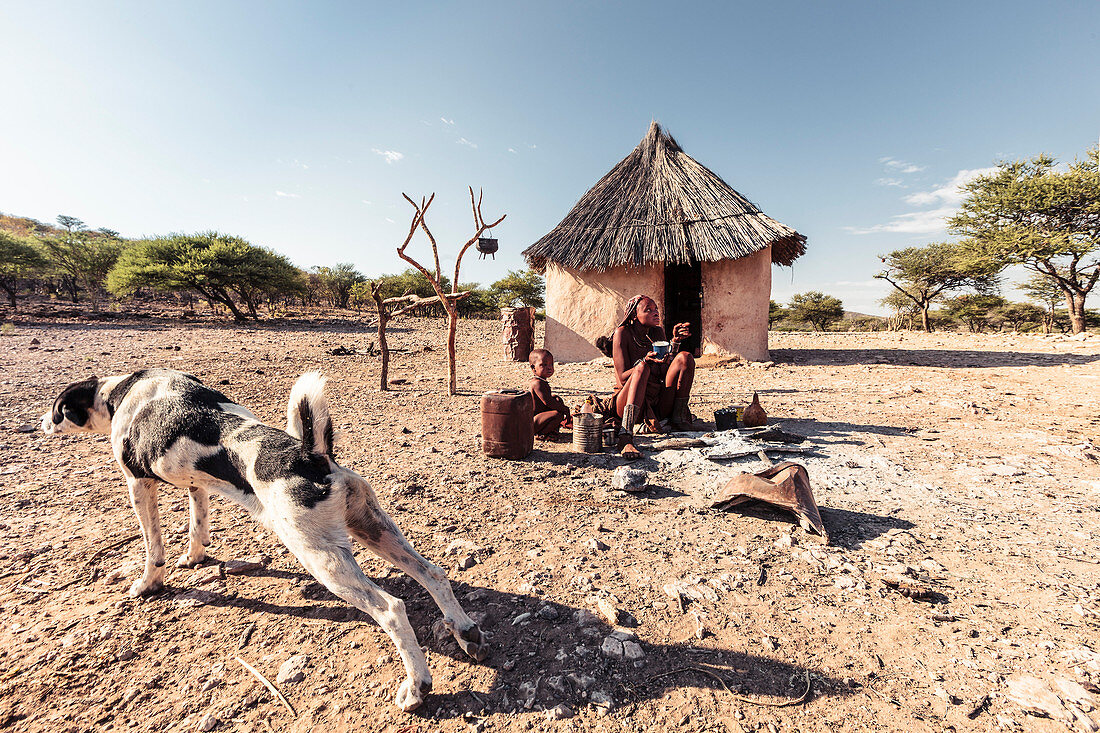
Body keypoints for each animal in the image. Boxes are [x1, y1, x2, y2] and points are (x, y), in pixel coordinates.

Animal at [44, 367, 481, 708]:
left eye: (57, 408)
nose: (41, 424)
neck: (119, 393)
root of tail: (310, 455)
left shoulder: (138, 484)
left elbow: (153, 547)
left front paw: (149, 584)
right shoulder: (196, 485)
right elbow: (197, 524)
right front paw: (195, 557)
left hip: (321, 557)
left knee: (391, 609)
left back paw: (417, 687)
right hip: (373, 527)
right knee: (433, 573)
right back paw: (465, 630)